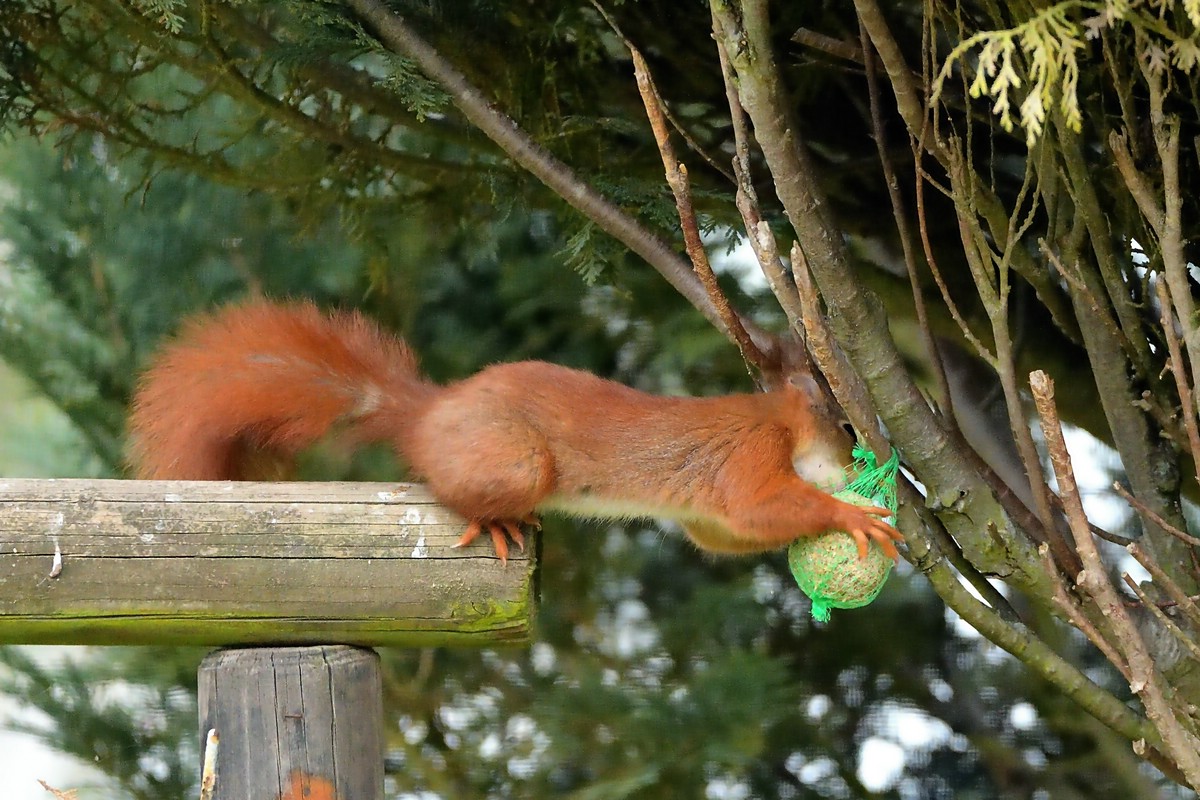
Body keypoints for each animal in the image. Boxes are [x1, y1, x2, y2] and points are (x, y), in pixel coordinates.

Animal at [128, 301, 902, 563]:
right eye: (844, 424)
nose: (871, 465)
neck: (777, 419)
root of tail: (431, 412)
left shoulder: (706, 516)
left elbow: (728, 533)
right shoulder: (748, 456)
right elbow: (759, 503)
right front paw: (852, 515)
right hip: (514, 459)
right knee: (446, 486)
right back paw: (495, 521)